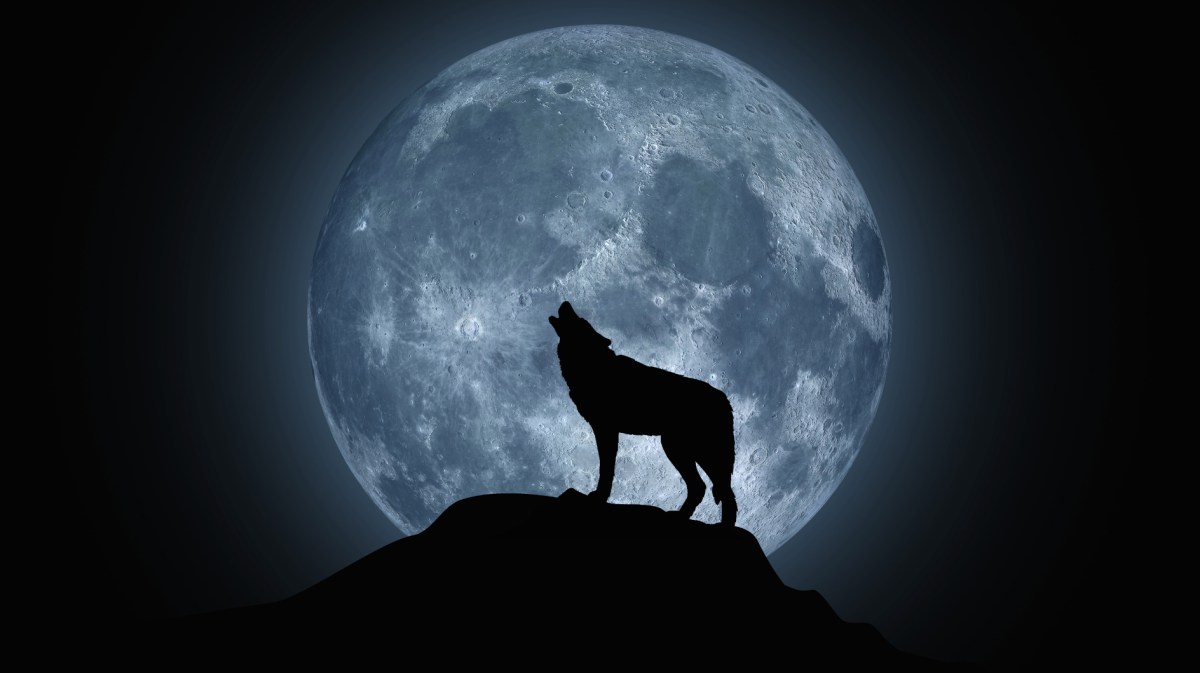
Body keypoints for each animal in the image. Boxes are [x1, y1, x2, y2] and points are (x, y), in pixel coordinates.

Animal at [549, 301, 737, 525]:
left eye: (581, 320)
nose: (566, 303)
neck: (595, 365)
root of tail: (724, 398)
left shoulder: (606, 429)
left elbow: (606, 469)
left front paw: (599, 497)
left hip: (699, 451)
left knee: (724, 491)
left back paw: (723, 527)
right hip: (678, 447)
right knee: (702, 487)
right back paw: (680, 516)